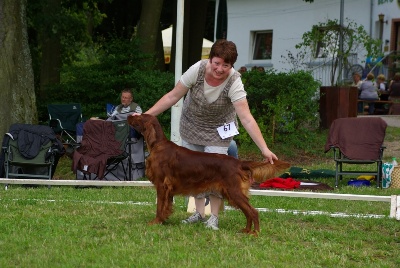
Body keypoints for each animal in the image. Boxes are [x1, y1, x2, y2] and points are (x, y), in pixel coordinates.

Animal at [128, 114, 290, 236]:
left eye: (139, 116)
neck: (157, 145)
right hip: (233, 194)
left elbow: (159, 207)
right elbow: (166, 206)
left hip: (234, 192)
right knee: (248, 212)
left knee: (253, 212)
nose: (129, 115)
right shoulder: (167, 189)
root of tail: (238, 163)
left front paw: (156, 222)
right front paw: (163, 220)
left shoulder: (162, 185)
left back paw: (254, 233)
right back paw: (246, 230)